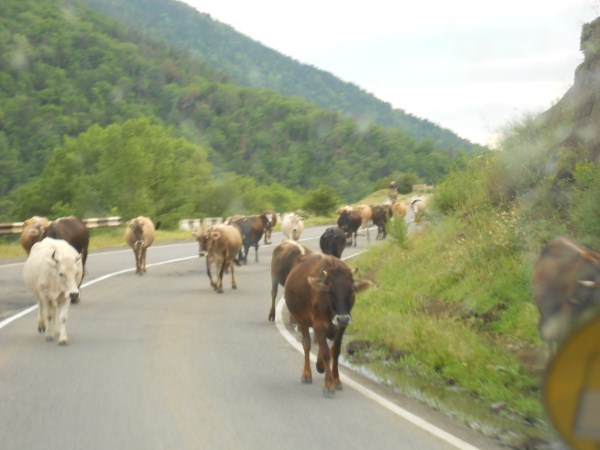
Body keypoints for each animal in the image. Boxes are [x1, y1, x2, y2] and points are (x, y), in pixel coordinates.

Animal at [284, 255, 370, 396]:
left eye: (351, 291)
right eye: (330, 292)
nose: (342, 318)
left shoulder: (341, 327)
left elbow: (335, 351)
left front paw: (336, 380)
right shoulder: (318, 324)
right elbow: (325, 353)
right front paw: (329, 384)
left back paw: (320, 366)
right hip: (302, 320)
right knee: (307, 344)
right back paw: (307, 374)